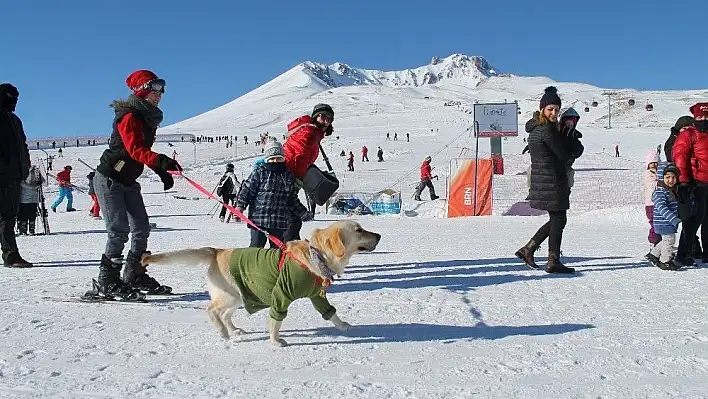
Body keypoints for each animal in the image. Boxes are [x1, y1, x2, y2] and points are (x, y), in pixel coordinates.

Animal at [140, 222, 378, 346]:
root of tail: (217, 251)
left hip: (238, 297)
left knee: (225, 315)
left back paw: (234, 330)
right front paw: (276, 341)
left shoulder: (317, 296)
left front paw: (343, 326)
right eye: (358, 230)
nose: (379, 235)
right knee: (212, 310)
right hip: (229, 296)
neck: (316, 256)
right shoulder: (281, 296)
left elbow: (330, 313)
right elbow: (275, 321)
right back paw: (224, 333)